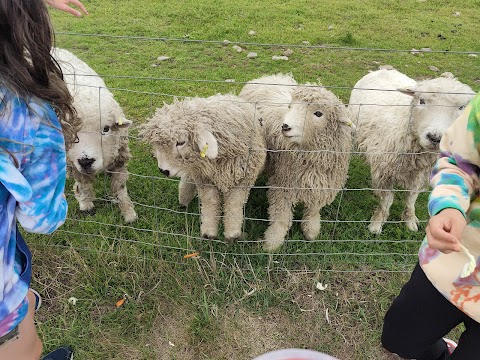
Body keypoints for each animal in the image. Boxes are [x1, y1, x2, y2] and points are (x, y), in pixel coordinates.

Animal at [53, 47, 138, 222]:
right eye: (71, 132)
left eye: (106, 129)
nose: (86, 161)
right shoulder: (75, 163)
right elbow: (83, 184)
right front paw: (86, 204)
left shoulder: (119, 158)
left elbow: (120, 186)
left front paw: (128, 212)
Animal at [139, 94, 266, 243]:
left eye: (180, 142)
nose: (163, 170)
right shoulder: (203, 177)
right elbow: (210, 202)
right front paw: (208, 232)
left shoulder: (244, 179)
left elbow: (234, 204)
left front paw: (233, 234)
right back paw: (183, 199)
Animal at [242, 74, 354, 250]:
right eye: (290, 106)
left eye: (318, 113)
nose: (285, 126)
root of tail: (267, 76)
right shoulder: (283, 185)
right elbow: (281, 218)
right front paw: (271, 243)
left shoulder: (322, 184)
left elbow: (313, 210)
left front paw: (311, 231)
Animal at [348, 69, 476, 235]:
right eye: (422, 100)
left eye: (462, 108)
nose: (435, 138)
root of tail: (384, 69)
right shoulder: (384, 171)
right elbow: (386, 200)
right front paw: (377, 223)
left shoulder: (421, 175)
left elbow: (411, 199)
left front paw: (409, 220)